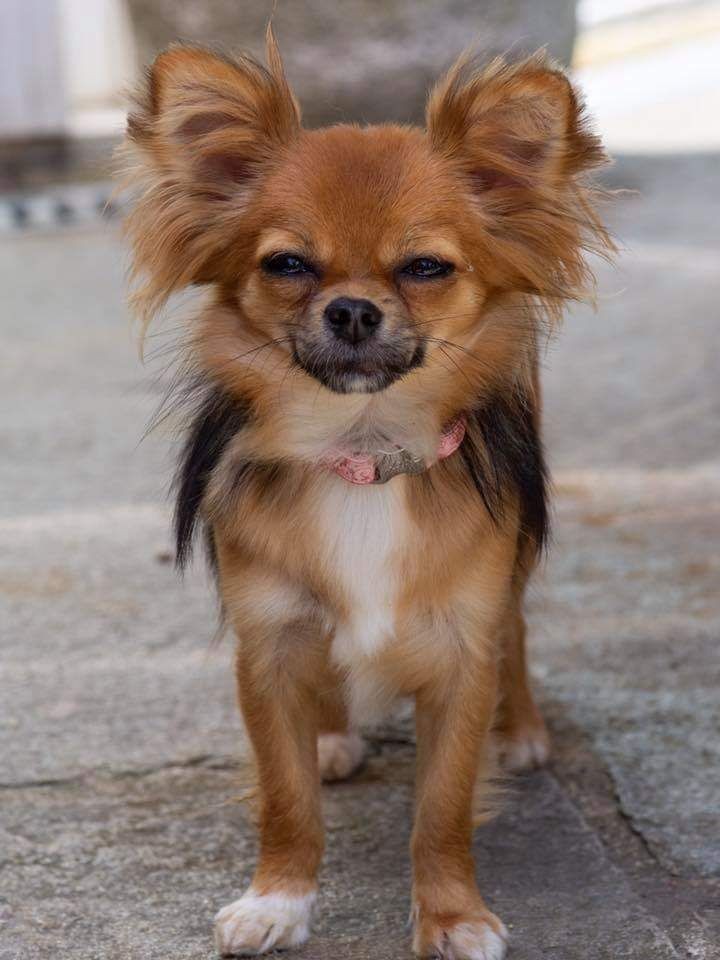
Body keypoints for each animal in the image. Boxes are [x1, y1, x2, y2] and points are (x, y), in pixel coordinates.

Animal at [121, 30, 612, 960]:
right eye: (287, 264)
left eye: (425, 268)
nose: (351, 309)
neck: (362, 447)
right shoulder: (269, 647)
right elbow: (286, 800)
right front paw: (278, 900)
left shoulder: (461, 650)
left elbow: (442, 808)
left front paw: (452, 915)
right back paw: (334, 738)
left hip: (514, 568)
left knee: (518, 632)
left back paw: (523, 731)